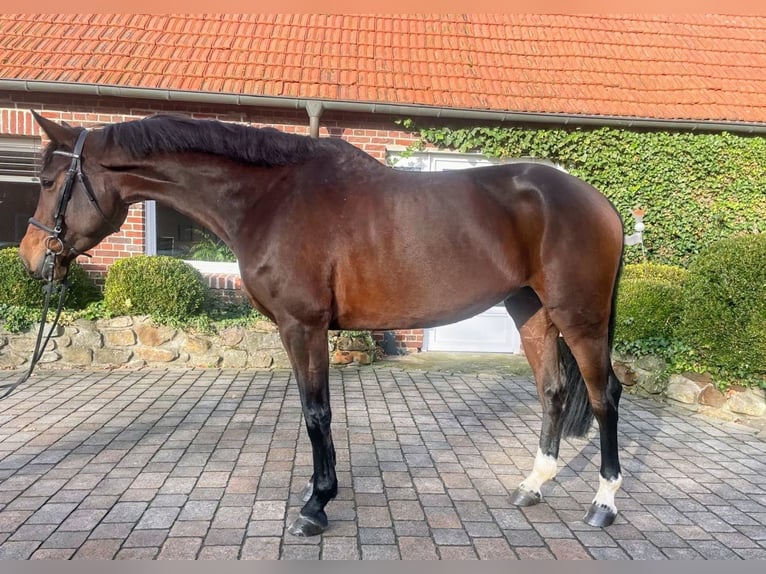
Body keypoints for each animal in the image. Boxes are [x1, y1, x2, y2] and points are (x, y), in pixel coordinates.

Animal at [21, 111, 628, 536]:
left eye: (50, 182)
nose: (30, 258)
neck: (271, 198)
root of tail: (600, 203)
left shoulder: (303, 326)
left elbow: (317, 414)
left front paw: (315, 506)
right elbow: (317, 413)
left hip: (581, 318)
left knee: (604, 396)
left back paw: (603, 504)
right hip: (531, 312)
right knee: (553, 391)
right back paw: (533, 485)